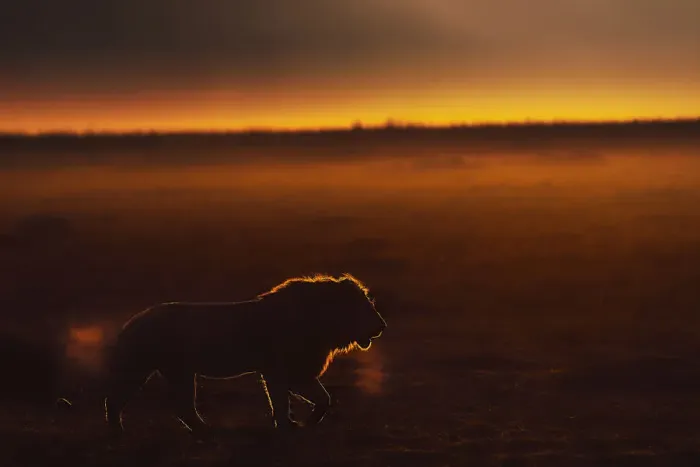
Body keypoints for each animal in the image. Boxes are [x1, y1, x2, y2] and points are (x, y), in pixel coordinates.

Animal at [104, 273, 386, 435]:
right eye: (364, 306)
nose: (382, 326)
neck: (323, 321)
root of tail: (132, 322)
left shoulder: (298, 372)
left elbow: (324, 398)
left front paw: (306, 424)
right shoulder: (280, 371)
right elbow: (281, 402)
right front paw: (287, 427)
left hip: (179, 372)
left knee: (183, 408)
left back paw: (205, 430)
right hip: (140, 367)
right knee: (115, 398)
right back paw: (117, 431)